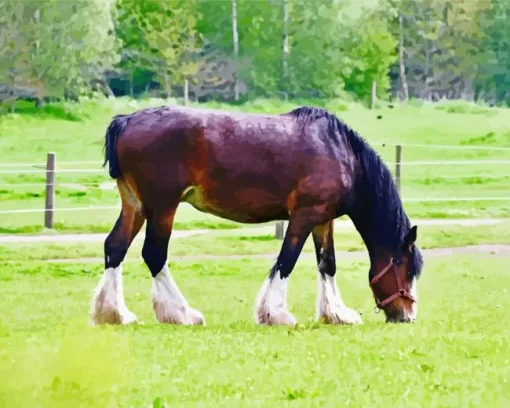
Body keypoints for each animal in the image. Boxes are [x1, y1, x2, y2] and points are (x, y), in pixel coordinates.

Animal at [90, 106, 422, 328]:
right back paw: (182, 314)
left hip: (135, 205)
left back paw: (114, 314)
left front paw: (337, 313)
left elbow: (327, 264)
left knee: (115, 247)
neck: (341, 154)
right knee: (154, 254)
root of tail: (127, 121)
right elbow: (286, 261)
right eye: (406, 269)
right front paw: (276, 314)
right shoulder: (303, 216)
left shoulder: (322, 219)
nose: (407, 315)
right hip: (162, 207)